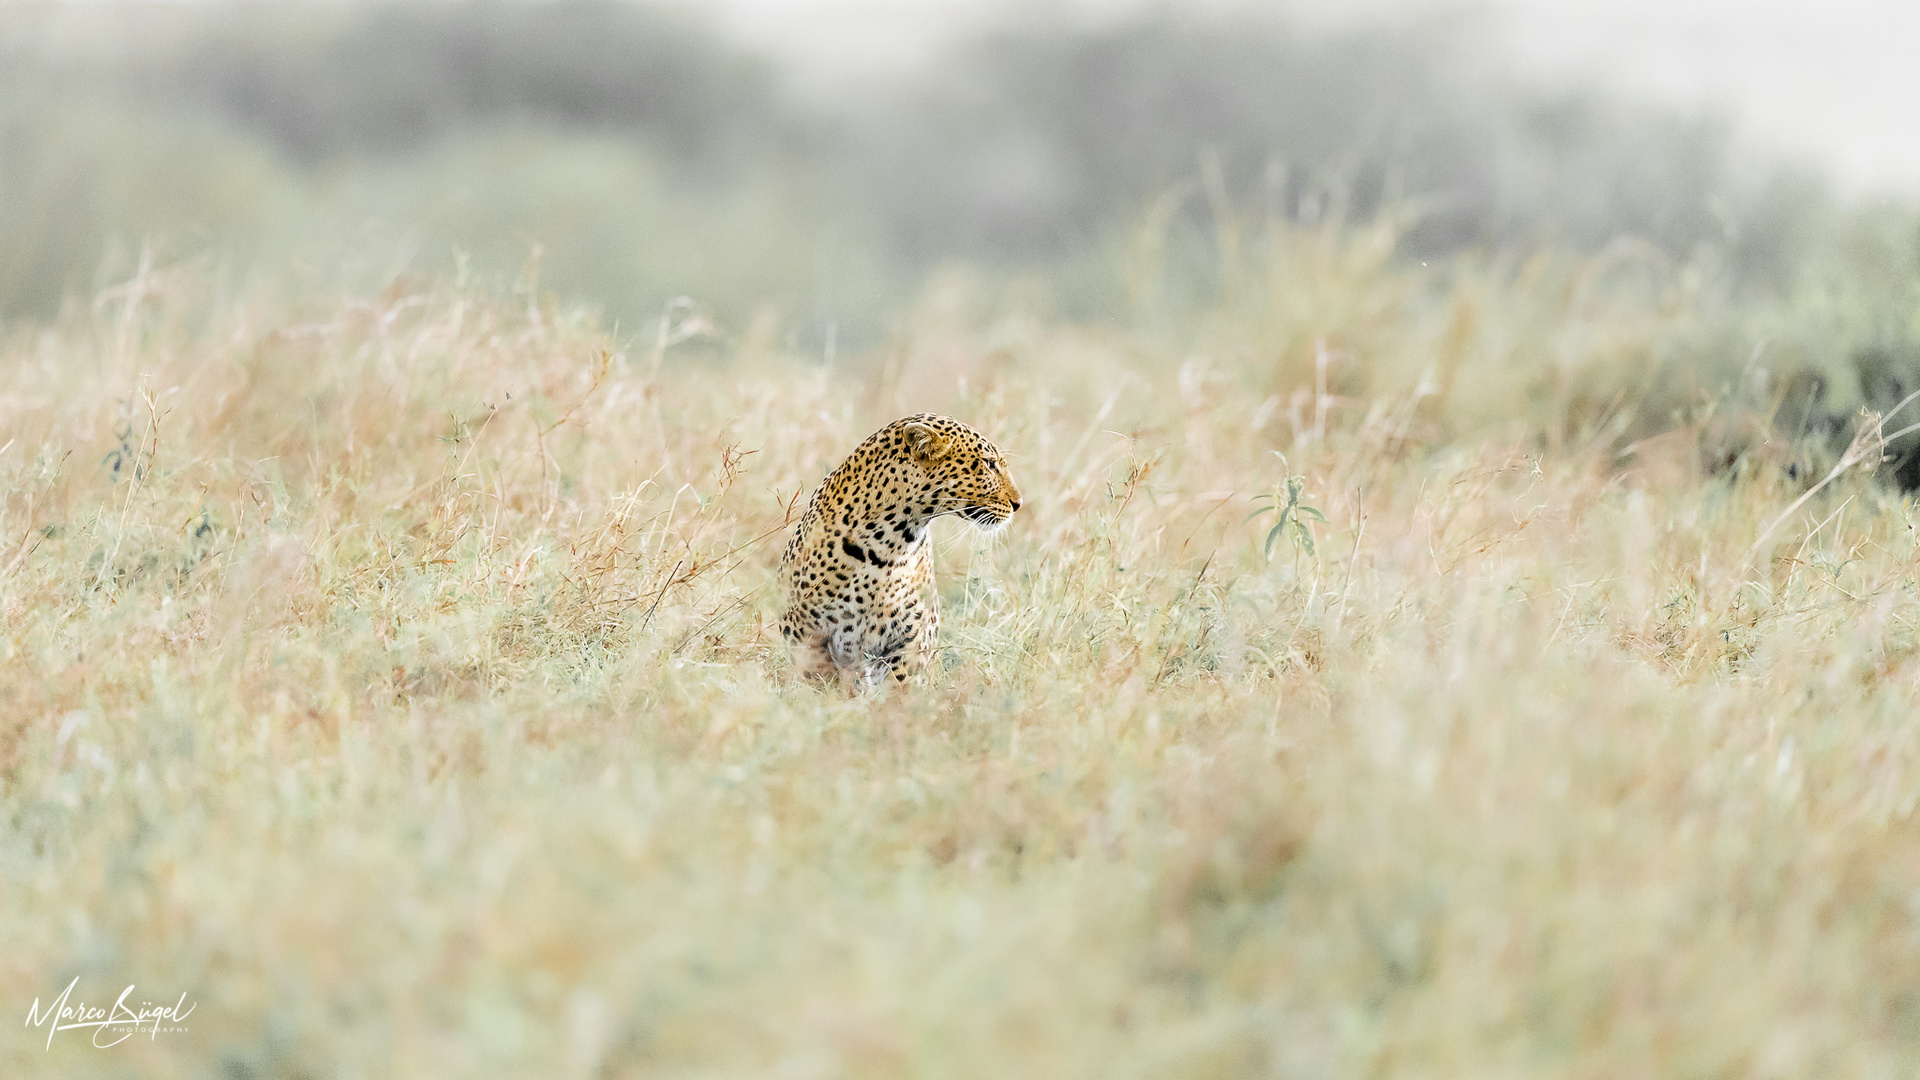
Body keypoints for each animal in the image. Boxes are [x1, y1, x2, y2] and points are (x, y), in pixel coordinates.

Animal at [775, 411, 1029, 687]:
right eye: (990, 464)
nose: (1018, 503)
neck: (889, 545)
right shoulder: (805, 629)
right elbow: (818, 677)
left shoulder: (910, 641)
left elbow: (899, 688)